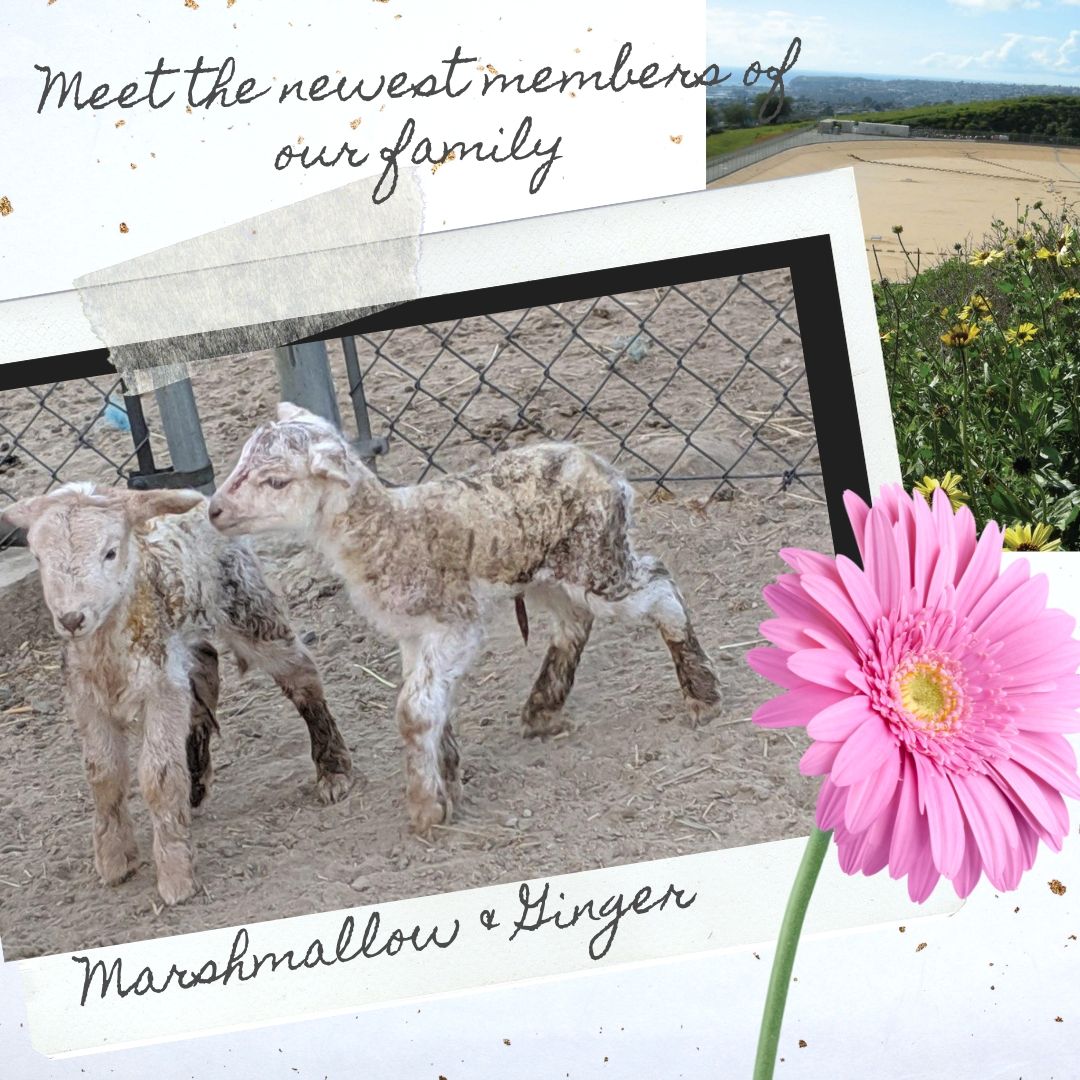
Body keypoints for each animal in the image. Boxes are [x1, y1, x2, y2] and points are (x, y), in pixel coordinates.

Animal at [0, 482, 352, 905]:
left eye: (110, 552)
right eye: (37, 557)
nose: (71, 619)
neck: (108, 650)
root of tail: (204, 498)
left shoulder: (161, 689)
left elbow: (160, 775)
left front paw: (175, 876)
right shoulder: (85, 697)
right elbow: (103, 774)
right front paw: (115, 860)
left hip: (245, 605)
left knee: (301, 675)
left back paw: (333, 770)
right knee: (206, 667)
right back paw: (196, 781)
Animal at [207, 403, 721, 836]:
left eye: (276, 481)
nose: (213, 510)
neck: (387, 530)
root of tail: (605, 468)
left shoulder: (454, 622)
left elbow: (413, 709)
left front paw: (426, 807)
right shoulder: (414, 633)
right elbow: (433, 703)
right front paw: (448, 777)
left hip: (594, 560)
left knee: (659, 588)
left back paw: (702, 695)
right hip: (546, 573)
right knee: (575, 621)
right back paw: (542, 710)